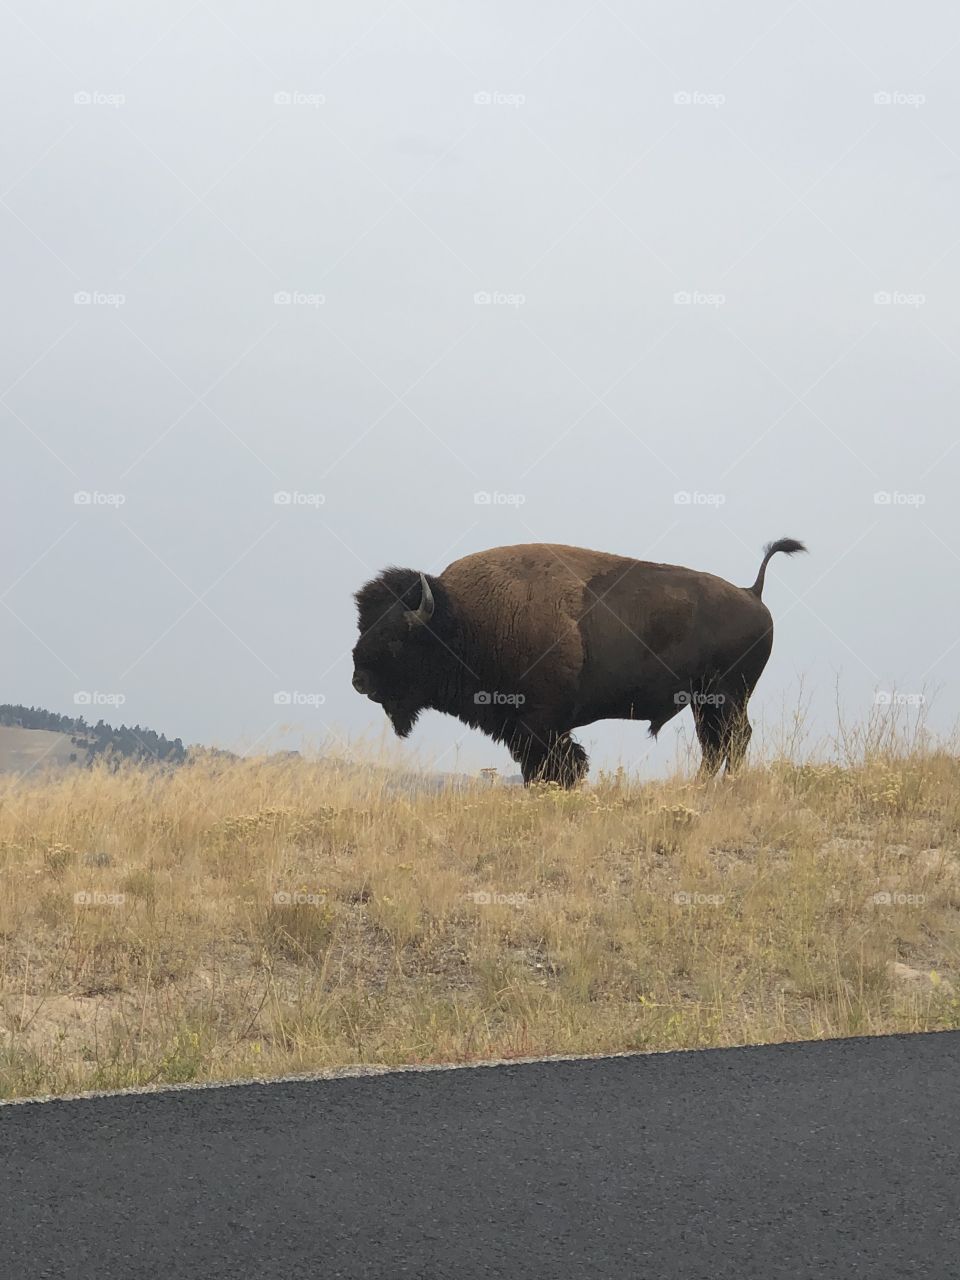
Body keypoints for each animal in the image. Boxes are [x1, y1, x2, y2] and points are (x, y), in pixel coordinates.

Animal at [352, 538, 806, 785]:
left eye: (396, 638)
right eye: (363, 624)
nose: (359, 680)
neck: (463, 620)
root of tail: (751, 593)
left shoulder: (538, 724)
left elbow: (554, 766)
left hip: (726, 696)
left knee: (733, 739)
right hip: (704, 701)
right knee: (715, 743)